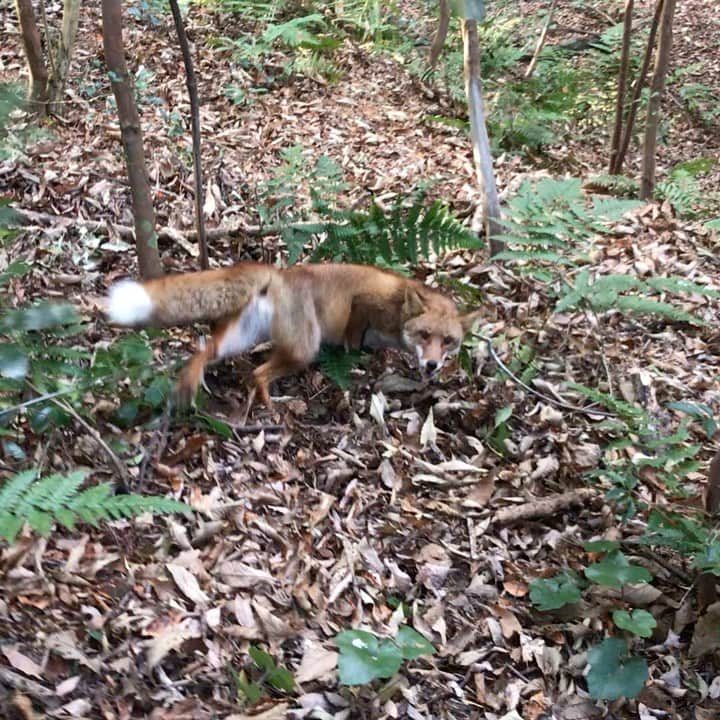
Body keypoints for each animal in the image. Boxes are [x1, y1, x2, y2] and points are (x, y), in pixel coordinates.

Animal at [105, 262, 478, 410]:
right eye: (425, 334)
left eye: (448, 341)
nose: (432, 366)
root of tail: (279, 273)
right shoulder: (363, 302)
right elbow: (354, 338)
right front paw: (357, 355)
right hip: (303, 349)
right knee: (258, 372)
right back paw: (269, 405)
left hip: (241, 337)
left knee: (204, 353)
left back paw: (188, 384)